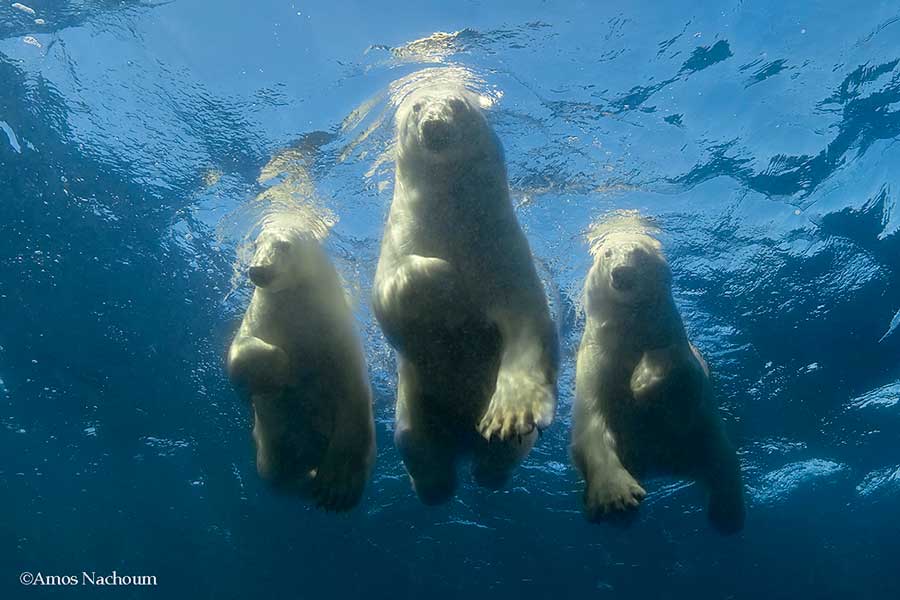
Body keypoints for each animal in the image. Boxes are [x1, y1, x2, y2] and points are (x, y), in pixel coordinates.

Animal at [230, 223, 378, 512]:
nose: (257, 269)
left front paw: (338, 488)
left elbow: (352, 400)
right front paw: (280, 371)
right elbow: (239, 352)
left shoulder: (338, 338)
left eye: (284, 245)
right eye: (256, 244)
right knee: (278, 474)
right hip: (270, 448)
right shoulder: (262, 316)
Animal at [370, 85, 556, 506]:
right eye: (416, 106)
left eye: (457, 104)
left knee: (502, 456)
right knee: (414, 443)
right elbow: (390, 295)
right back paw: (437, 484)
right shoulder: (401, 238)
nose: (434, 124)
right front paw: (450, 282)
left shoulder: (503, 251)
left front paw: (508, 414)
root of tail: (462, 444)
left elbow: (528, 323)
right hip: (414, 406)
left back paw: (488, 466)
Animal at [568, 213, 744, 532]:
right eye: (607, 253)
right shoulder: (595, 362)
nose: (621, 273)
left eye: (639, 252)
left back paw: (727, 516)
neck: (628, 333)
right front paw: (617, 496)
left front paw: (642, 379)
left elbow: (682, 387)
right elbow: (591, 425)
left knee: (723, 464)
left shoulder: (673, 341)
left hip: (702, 441)